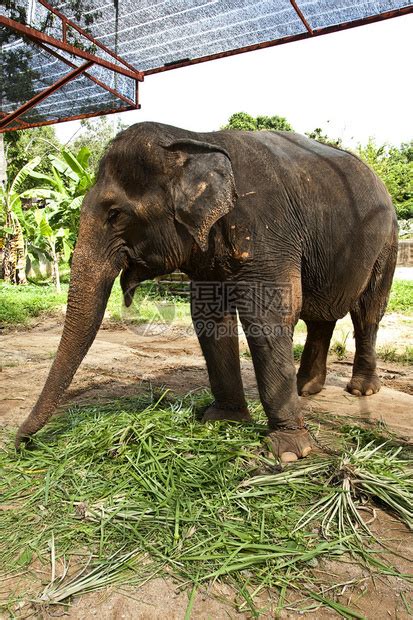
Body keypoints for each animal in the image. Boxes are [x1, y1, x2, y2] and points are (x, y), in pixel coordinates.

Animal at [16, 122, 396, 460]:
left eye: (115, 214)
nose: (20, 442)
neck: (193, 138)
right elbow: (209, 317)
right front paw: (222, 420)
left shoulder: (268, 231)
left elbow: (267, 317)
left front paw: (288, 452)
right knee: (321, 315)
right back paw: (306, 388)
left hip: (386, 243)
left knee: (367, 311)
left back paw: (360, 389)